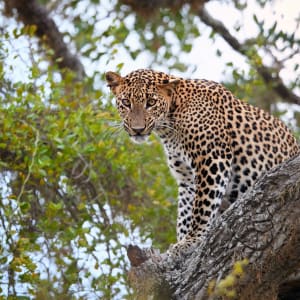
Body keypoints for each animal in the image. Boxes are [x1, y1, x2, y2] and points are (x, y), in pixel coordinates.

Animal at [105, 69, 298, 254]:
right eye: (126, 102)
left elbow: (202, 207)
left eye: (151, 102)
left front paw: (190, 241)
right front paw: (182, 241)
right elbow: (185, 214)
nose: (138, 130)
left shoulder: (212, 159)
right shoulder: (187, 179)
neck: (170, 126)